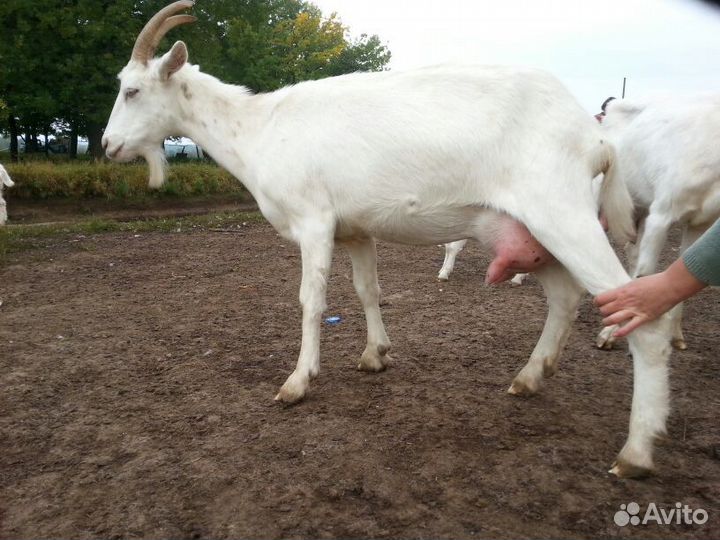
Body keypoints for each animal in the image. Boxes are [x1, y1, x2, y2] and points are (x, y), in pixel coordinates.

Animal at [103, 1, 673, 478]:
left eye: (132, 90)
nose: (107, 145)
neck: (259, 129)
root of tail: (594, 136)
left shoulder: (314, 221)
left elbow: (311, 300)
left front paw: (298, 381)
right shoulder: (355, 230)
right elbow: (366, 290)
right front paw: (376, 354)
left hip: (562, 213)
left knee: (644, 321)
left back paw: (635, 452)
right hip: (532, 230)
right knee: (564, 295)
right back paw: (530, 377)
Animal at [596, 95, 720, 350]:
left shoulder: (700, 223)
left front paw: (674, 334)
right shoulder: (661, 215)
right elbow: (646, 271)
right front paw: (611, 332)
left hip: (638, 207)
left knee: (632, 251)